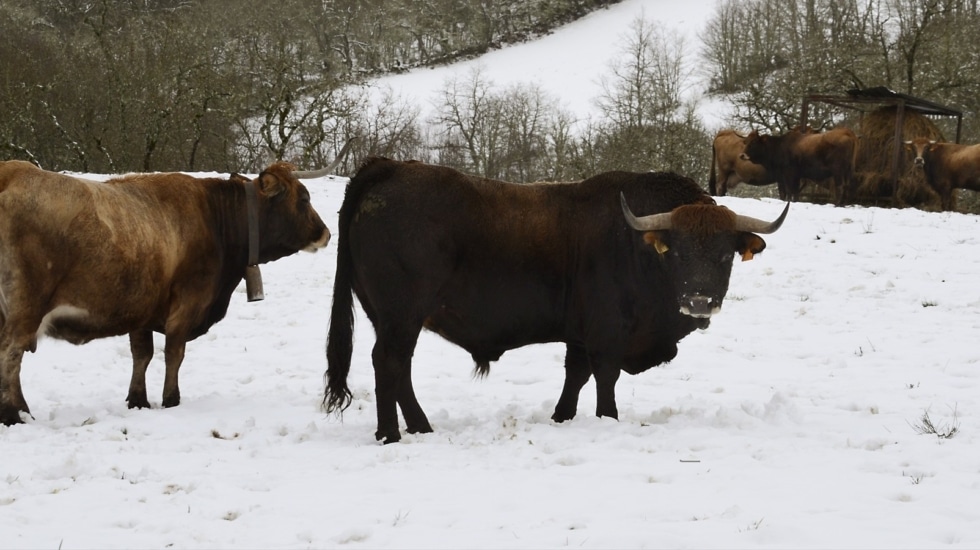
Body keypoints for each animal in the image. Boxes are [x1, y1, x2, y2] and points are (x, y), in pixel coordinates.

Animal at [0, 160, 330, 425]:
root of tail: (13, 171)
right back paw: (14, 414)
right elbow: (174, 353)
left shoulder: (141, 308)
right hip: (25, 309)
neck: (215, 218)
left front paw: (138, 401)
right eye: (304, 199)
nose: (326, 234)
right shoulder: (187, 302)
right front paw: (171, 399)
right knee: (10, 353)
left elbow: (142, 354)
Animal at [323, 157, 789, 443]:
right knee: (389, 363)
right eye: (676, 252)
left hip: (393, 317)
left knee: (399, 367)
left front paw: (561, 417)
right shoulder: (607, 332)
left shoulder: (579, 334)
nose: (699, 300)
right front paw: (608, 419)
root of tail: (387, 167)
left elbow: (576, 376)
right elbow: (604, 377)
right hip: (402, 314)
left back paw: (420, 426)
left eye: (725, 254)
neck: (634, 245)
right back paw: (391, 433)